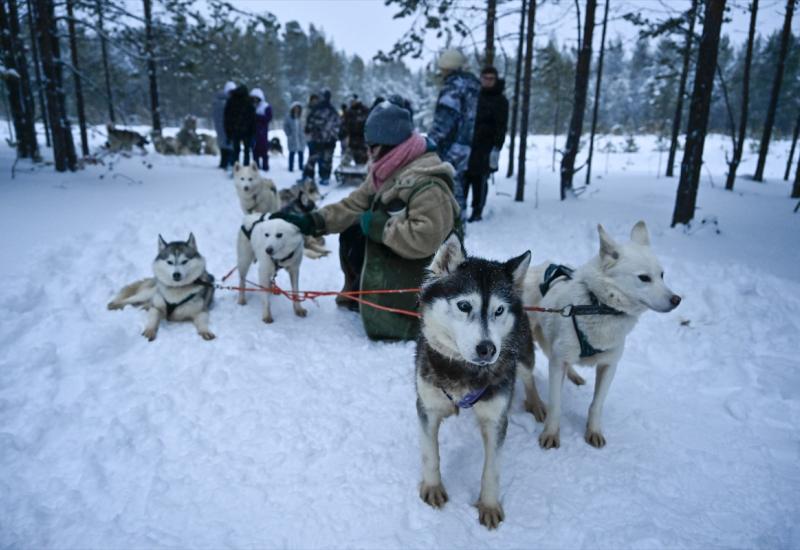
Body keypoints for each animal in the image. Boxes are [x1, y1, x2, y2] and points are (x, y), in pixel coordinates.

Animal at [416, 236, 540, 532]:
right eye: (464, 306)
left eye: (499, 310)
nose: (488, 348)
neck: (464, 372)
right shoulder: (427, 406)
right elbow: (430, 453)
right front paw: (433, 487)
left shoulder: (495, 419)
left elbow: (492, 469)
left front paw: (489, 505)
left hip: (523, 355)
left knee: (529, 377)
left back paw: (537, 404)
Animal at [524, 222, 680, 450]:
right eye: (644, 278)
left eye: (662, 275)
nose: (677, 299)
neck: (597, 305)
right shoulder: (558, 363)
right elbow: (555, 404)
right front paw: (551, 433)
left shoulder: (608, 366)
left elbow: (596, 405)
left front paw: (594, 431)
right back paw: (534, 403)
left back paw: (574, 375)